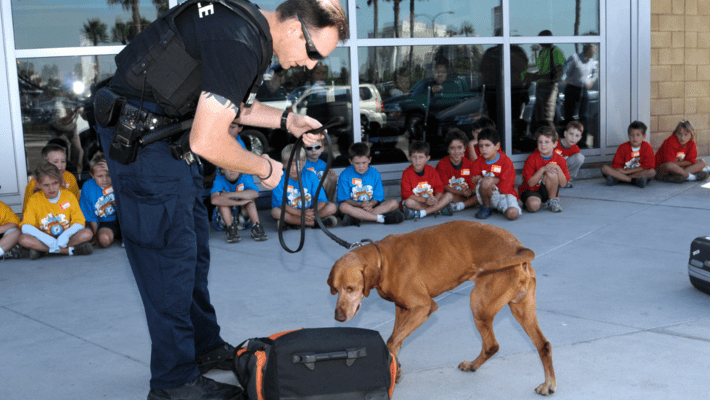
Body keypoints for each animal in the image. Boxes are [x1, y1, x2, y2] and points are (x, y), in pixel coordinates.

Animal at [328, 220, 556, 396]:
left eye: (351, 288)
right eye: (335, 289)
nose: (338, 317)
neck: (383, 259)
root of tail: (518, 247)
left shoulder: (424, 307)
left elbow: (392, 341)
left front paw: (394, 368)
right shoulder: (402, 309)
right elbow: (397, 341)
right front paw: (396, 369)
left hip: (479, 304)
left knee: (492, 345)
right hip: (521, 309)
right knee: (542, 345)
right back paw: (548, 384)